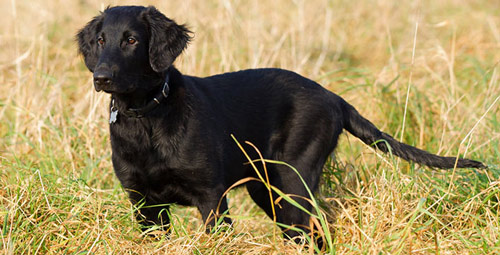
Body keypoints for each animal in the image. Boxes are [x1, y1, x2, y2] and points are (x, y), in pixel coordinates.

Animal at [77, 4, 484, 241]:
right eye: (100, 40)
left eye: (131, 40)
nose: (101, 77)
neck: (147, 116)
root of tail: (334, 98)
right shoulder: (143, 203)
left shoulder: (211, 196)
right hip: (267, 189)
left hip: (292, 181)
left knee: (317, 229)